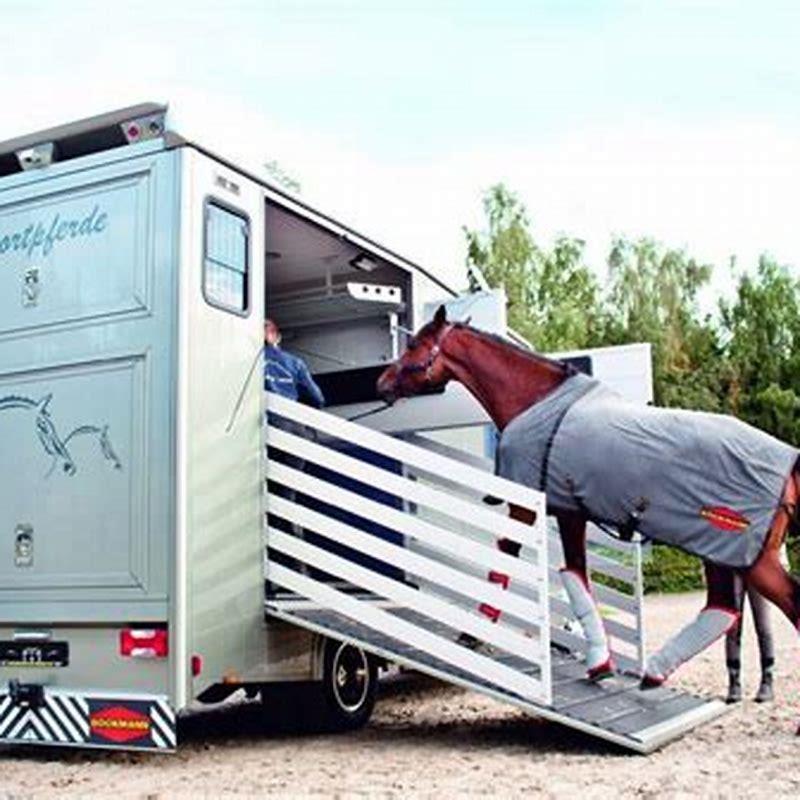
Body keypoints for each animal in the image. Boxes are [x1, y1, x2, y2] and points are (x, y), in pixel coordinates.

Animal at [376, 306, 800, 716]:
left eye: (414, 345)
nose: (381, 382)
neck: (536, 399)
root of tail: (789, 464)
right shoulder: (571, 513)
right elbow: (576, 576)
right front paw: (600, 663)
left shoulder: (528, 509)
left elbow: (506, 563)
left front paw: (475, 632)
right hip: (720, 555)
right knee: (722, 609)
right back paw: (654, 672)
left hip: (748, 558)